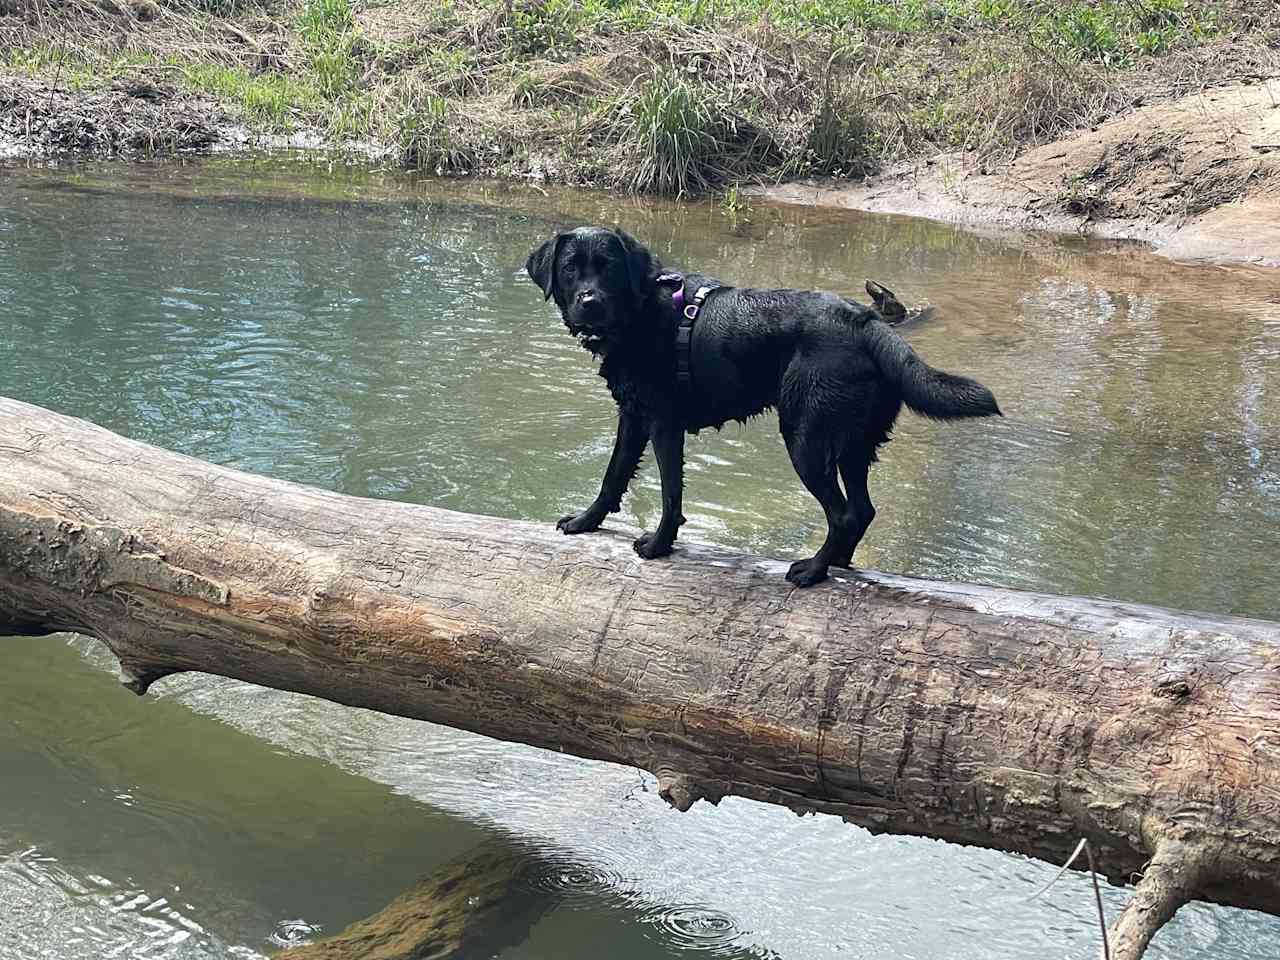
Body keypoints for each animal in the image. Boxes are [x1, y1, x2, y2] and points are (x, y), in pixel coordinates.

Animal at [522, 227, 998, 586]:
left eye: (611, 268)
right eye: (571, 269)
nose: (590, 301)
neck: (640, 311)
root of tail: (868, 323)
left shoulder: (663, 425)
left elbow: (670, 492)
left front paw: (658, 546)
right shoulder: (633, 418)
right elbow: (613, 476)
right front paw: (586, 522)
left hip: (806, 439)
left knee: (843, 514)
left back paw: (813, 571)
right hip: (852, 442)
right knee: (862, 510)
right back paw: (838, 563)